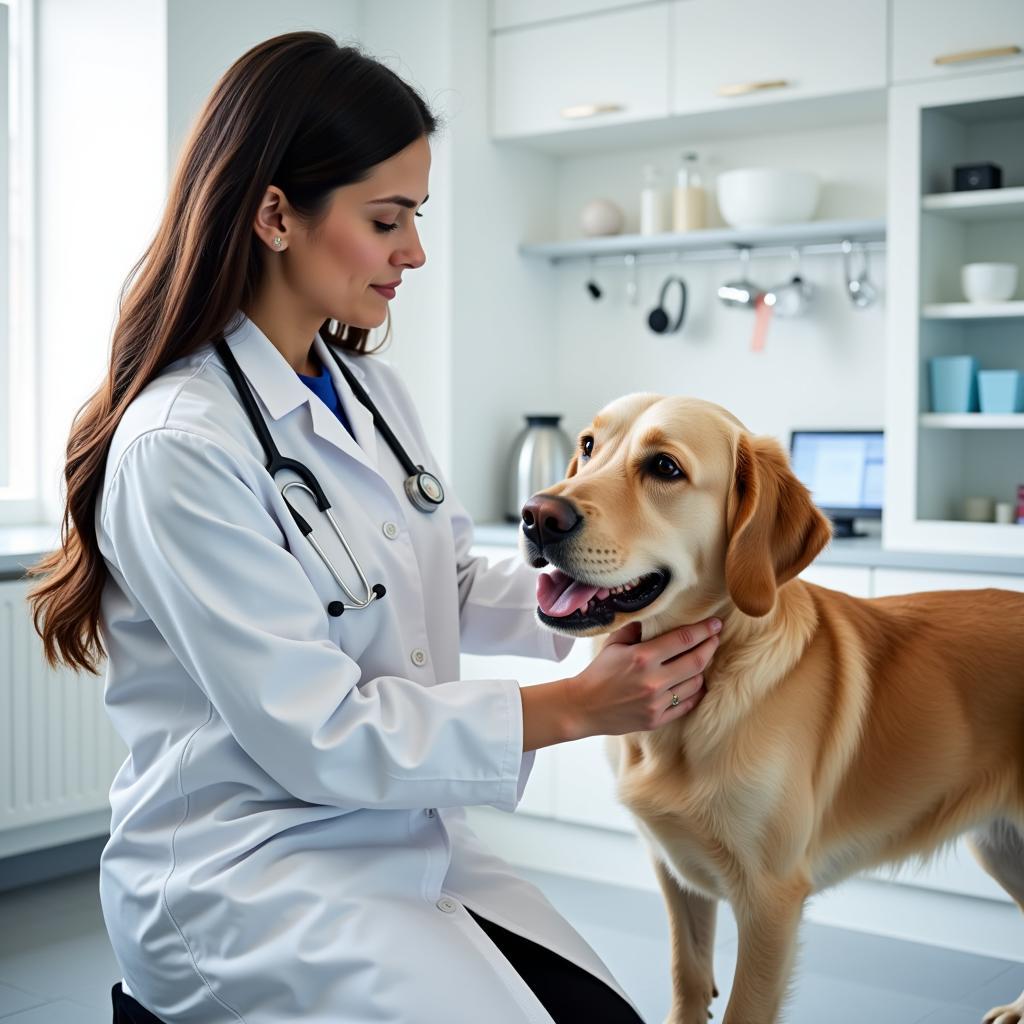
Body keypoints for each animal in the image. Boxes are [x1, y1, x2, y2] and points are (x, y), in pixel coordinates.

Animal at [520, 393, 1024, 1024]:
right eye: (588, 446)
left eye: (664, 467)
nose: (536, 515)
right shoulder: (678, 876)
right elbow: (688, 978)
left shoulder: (770, 900)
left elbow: (744, 1007)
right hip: (1001, 845)